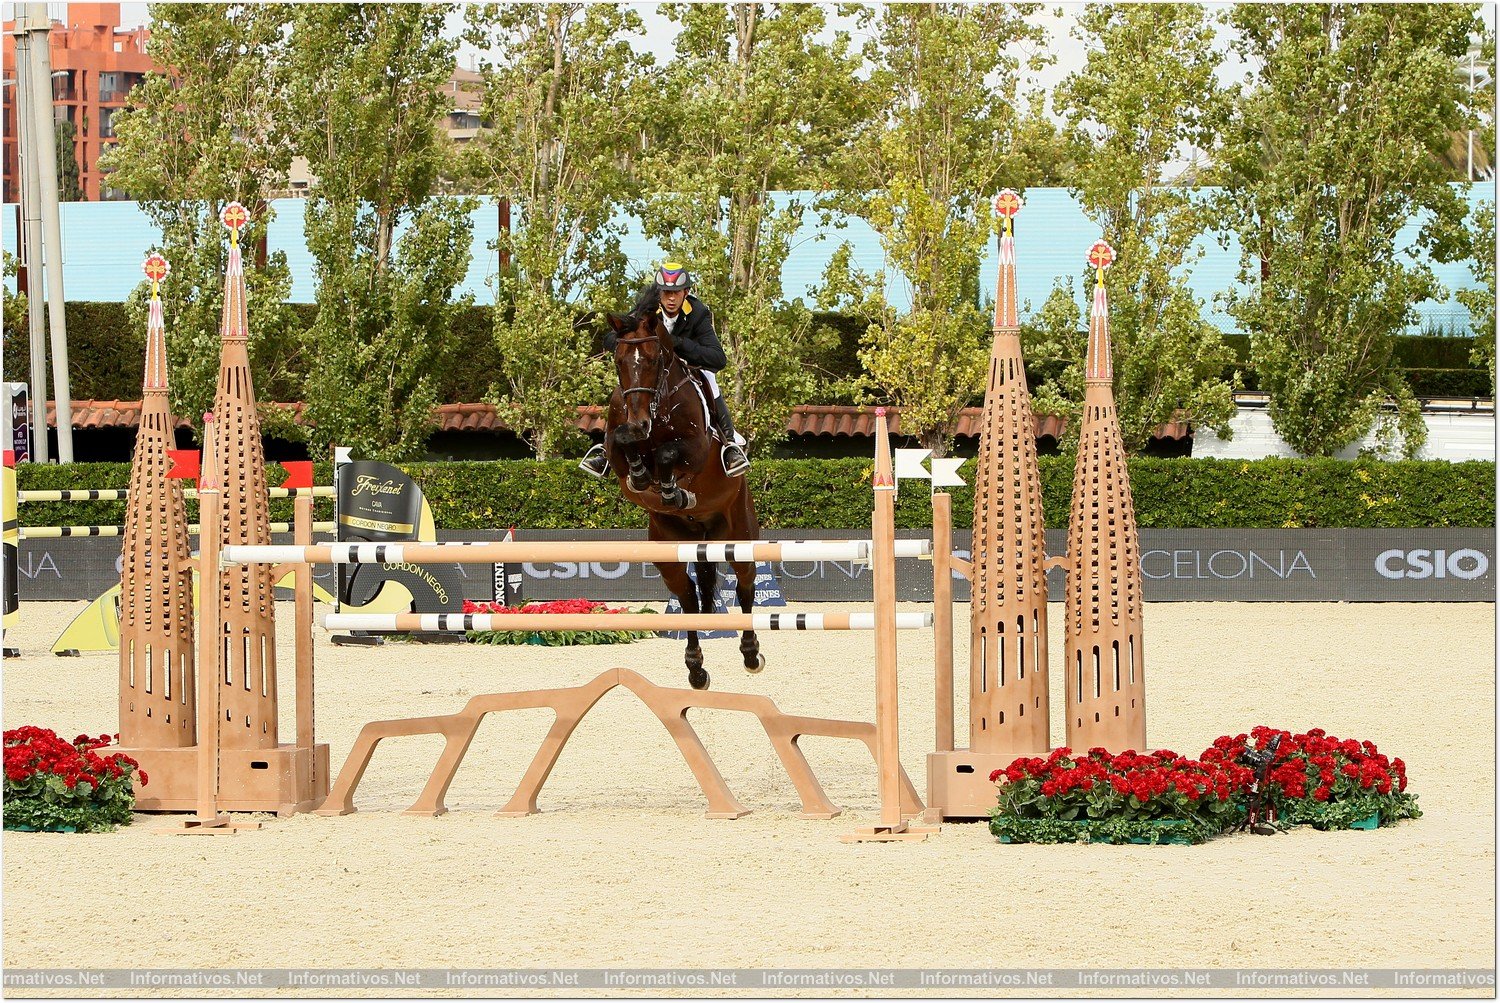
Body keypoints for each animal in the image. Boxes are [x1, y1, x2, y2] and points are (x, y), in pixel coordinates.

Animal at [600, 313, 762, 689]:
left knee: (745, 586)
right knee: (687, 597)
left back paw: (750, 654)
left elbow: (668, 452)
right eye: (618, 361)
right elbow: (623, 442)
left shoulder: (697, 449)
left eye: (654, 360)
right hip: (668, 547)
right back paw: (695, 669)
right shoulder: (618, 448)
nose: (640, 422)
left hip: (739, 534)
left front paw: (673, 489)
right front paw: (643, 474)